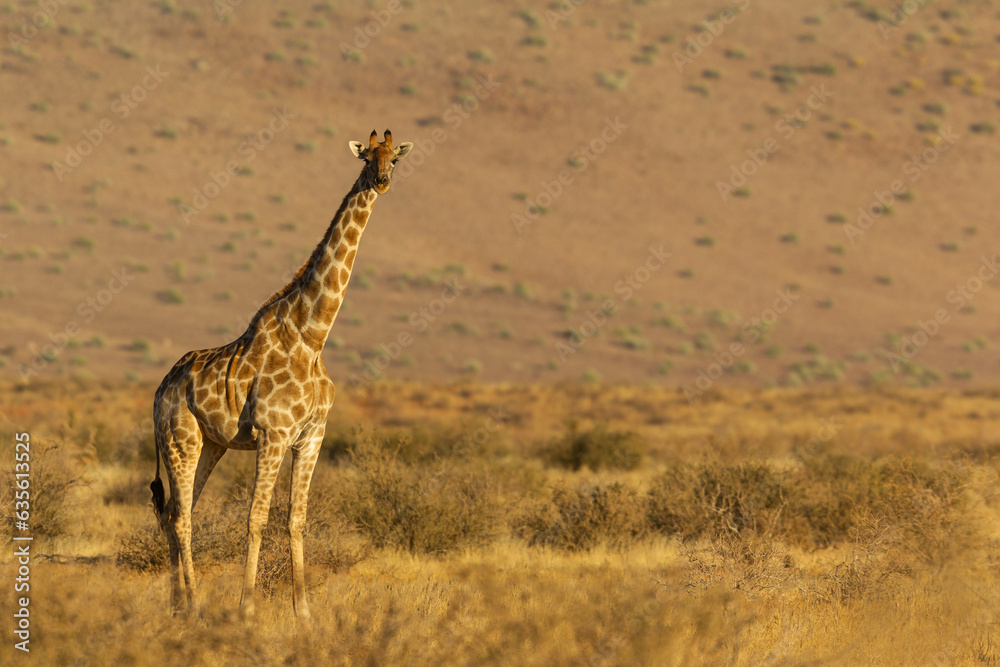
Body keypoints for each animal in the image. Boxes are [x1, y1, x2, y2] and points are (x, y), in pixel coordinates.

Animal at [149, 129, 413, 619]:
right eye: (367, 158)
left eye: (395, 159)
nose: (382, 181)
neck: (312, 336)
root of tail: (158, 391)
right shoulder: (273, 434)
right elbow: (256, 518)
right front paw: (247, 609)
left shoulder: (312, 436)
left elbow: (296, 519)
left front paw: (303, 612)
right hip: (180, 439)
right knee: (179, 515)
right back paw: (193, 603)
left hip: (211, 444)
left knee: (180, 510)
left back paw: (179, 603)